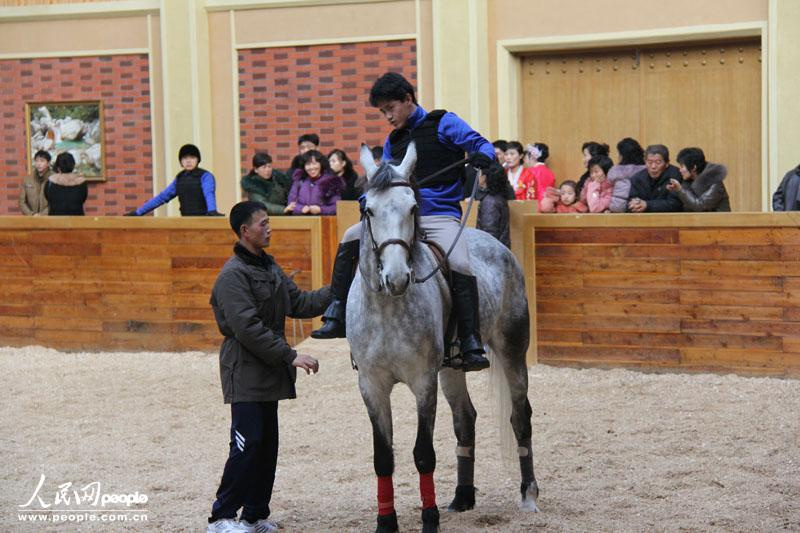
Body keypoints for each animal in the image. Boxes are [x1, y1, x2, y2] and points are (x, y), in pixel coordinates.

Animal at [348, 142, 540, 532]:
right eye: (368, 209)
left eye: (413, 208)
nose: (396, 278)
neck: (387, 307)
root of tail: (496, 244)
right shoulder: (372, 385)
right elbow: (383, 457)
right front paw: (386, 522)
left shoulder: (423, 382)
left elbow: (423, 454)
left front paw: (429, 519)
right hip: (451, 368)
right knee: (466, 418)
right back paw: (463, 497)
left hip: (512, 351)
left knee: (520, 416)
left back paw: (528, 494)